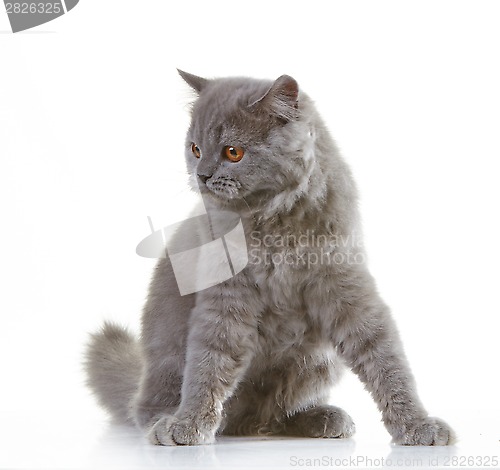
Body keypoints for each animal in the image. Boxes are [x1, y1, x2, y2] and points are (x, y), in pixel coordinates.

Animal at [85, 69, 454, 444]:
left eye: (233, 152)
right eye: (195, 149)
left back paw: (322, 418)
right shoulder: (226, 298)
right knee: (147, 406)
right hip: (167, 359)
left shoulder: (345, 284)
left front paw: (418, 425)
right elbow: (209, 362)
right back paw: (167, 423)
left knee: (278, 411)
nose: (202, 174)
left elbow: (383, 354)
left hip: (319, 362)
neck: (273, 220)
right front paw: (189, 424)